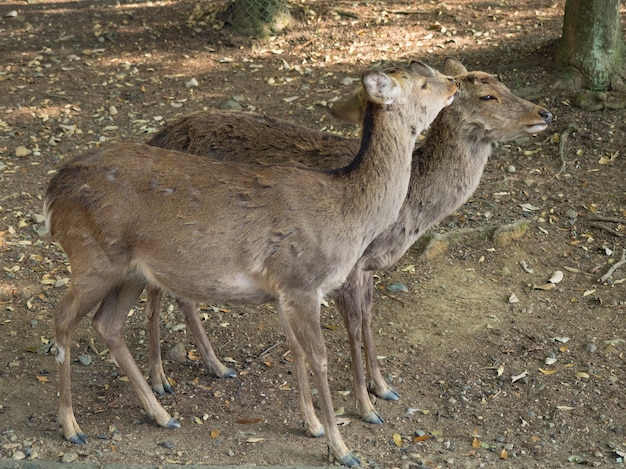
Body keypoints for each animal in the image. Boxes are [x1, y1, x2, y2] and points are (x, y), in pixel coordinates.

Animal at [42, 61, 454, 464]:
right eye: (421, 82)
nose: (452, 84)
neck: (349, 213)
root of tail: (50, 194)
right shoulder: (302, 281)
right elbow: (319, 357)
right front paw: (342, 447)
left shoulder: (284, 291)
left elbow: (296, 350)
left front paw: (312, 425)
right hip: (93, 258)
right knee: (62, 318)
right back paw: (71, 426)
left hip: (130, 272)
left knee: (107, 324)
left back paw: (161, 414)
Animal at [143, 55, 552, 424]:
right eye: (487, 96)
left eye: (504, 83)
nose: (544, 112)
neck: (406, 211)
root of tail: (156, 134)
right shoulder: (345, 267)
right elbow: (353, 327)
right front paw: (366, 407)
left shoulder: (368, 266)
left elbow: (369, 319)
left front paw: (382, 386)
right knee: (154, 292)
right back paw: (161, 380)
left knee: (182, 295)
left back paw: (216, 365)